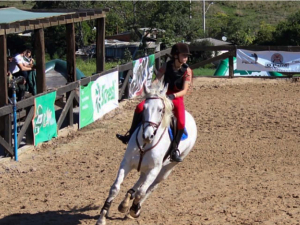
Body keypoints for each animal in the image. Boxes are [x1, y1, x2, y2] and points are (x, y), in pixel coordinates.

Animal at [96, 82, 198, 225]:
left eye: (160, 110)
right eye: (144, 108)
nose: (147, 135)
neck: (145, 144)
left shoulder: (154, 169)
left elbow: (142, 192)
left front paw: (134, 210)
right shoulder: (126, 164)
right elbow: (115, 188)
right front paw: (102, 217)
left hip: (167, 168)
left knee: (151, 187)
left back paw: (134, 207)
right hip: (144, 166)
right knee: (141, 180)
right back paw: (126, 201)